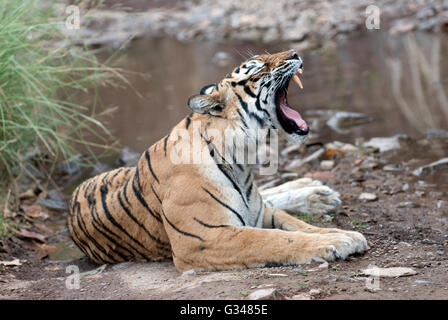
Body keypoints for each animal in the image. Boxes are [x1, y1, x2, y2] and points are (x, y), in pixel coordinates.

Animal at [66, 48, 368, 272]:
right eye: (257, 67)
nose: (295, 52)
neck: (241, 160)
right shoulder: (205, 238)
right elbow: (278, 240)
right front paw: (337, 240)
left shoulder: (261, 213)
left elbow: (301, 226)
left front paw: (344, 234)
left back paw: (318, 192)